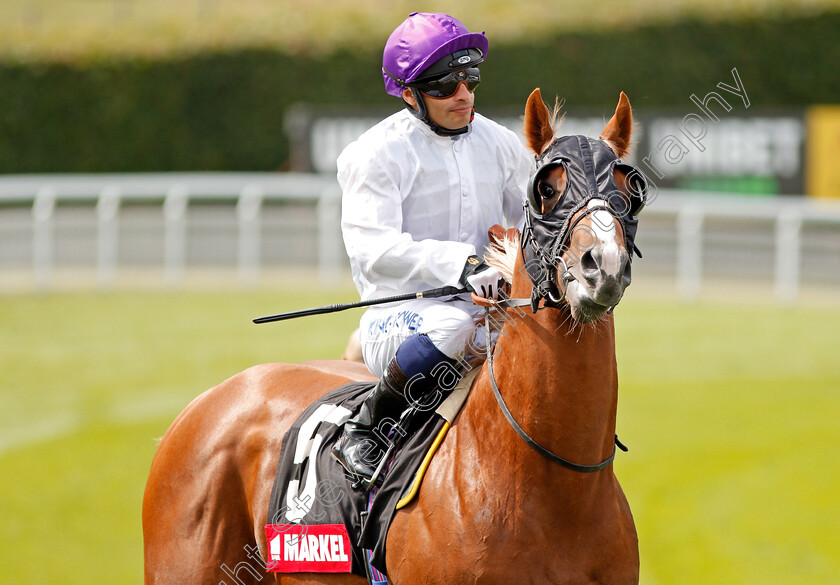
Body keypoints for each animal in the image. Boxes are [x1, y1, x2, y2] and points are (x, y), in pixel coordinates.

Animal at [143, 88, 644, 584]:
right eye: (546, 189)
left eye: (629, 191)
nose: (602, 266)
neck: (554, 482)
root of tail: (198, 406)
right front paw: (477, 272)